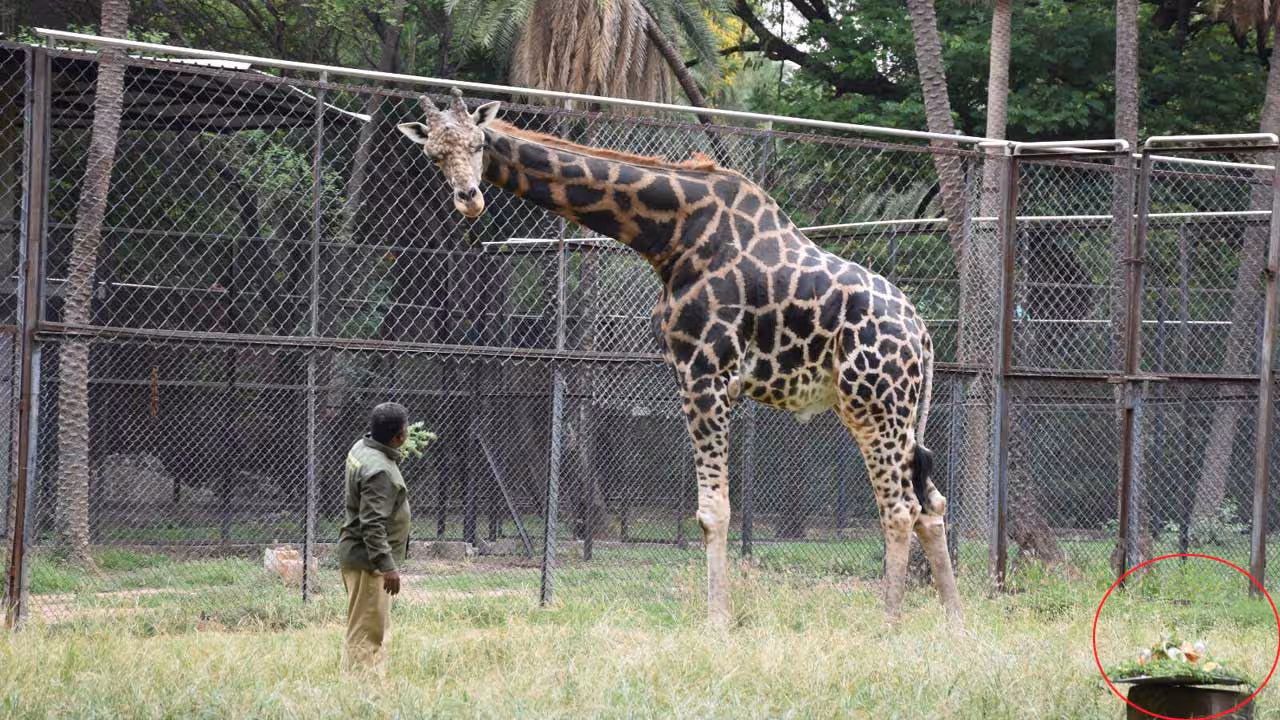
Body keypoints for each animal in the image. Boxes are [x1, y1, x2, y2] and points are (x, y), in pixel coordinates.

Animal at [398, 90, 964, 627]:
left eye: (478, 143)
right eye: (433, 154)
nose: (468, 198)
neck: (669, 235)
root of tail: (922, 334)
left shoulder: (705, 369)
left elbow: (713, 511)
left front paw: (716, 621)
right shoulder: (692, 372)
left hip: (873, 403)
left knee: (900, 506)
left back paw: (888, 622)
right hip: (898, 410)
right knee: (931, 503)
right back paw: (953, 625)